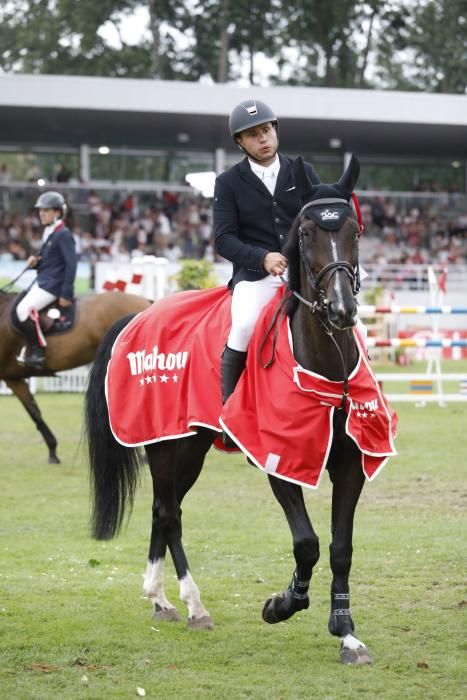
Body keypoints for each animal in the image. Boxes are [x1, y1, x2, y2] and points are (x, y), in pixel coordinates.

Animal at [86, 156, 396, 664]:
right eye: (306, 231)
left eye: (354, 229)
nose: (342, 310)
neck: (324, 364)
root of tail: (140, 313)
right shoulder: (278, 460)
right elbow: (307, 544)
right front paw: (282, 604)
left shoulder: (351, 462)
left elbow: (341, 547)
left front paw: (347, 633)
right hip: (169, 444)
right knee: (169, 513)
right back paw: (192, 606)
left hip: (188, 450)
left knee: (163, 510)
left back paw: (161, 599)